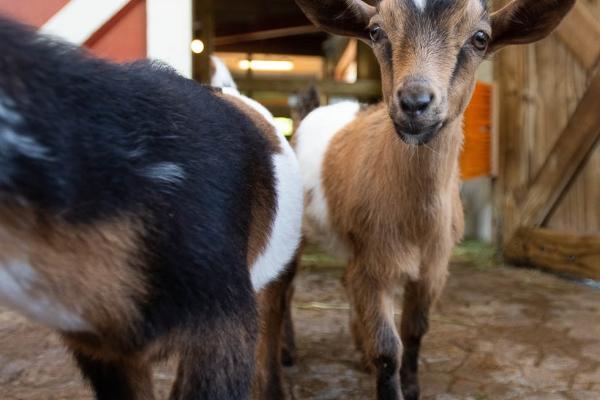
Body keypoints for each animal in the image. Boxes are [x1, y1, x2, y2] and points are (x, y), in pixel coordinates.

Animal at [262, 0, 572, 400]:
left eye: (481, 38)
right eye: (376, 31)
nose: (414, 102)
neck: (415, 223)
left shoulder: (432, 269)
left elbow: (414, 331)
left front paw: (410, 386)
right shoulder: (374, 265)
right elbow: (387, 349)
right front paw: (386, 376)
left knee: (343, 283)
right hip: (295, 232)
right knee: (284, 295)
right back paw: (287, 354)